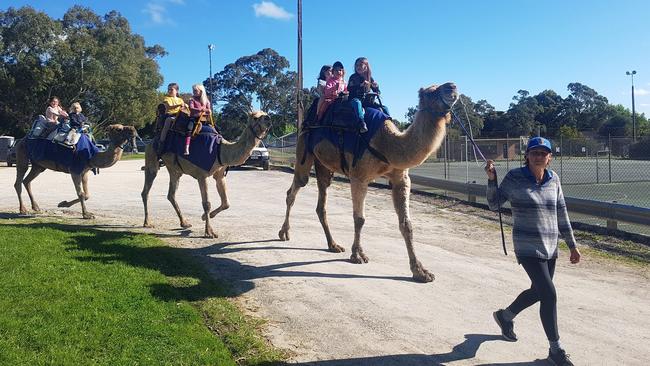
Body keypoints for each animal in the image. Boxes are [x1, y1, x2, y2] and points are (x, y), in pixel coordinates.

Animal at [140, 110, 272, 239]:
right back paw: (147, 222)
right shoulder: (202, 175)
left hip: (174, 169)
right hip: (151, 156)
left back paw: (184, 223)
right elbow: (207, 203)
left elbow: (226, 203)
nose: (268, 118)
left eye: (265, 113)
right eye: (255, 117)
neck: (220, 150)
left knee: (171, 194)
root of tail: (152, 141)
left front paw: (204, 217)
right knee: (146, 188)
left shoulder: (219, 175)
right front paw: (209, 232)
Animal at [278, 82, 456, 284]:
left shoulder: (401, 178)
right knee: (294, 190)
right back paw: (284, 233)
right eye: (430, 93)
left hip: (323, 166)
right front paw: (358, 255)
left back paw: (333, 244)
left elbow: (406, 224)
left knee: (321, 203)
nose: (452, 87)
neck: (387, 144)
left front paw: (421, 271)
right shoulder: (358, 177)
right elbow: (360, 219)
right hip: (303, 150)